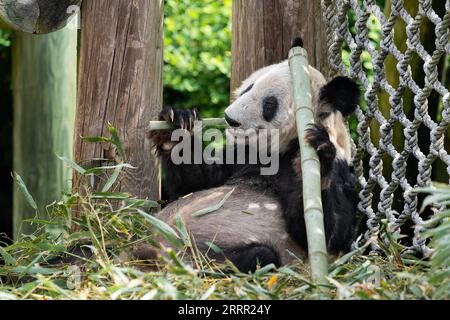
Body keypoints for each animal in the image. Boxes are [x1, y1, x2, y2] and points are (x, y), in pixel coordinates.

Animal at [145, 55, 362, 272]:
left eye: (269, 104)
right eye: (249, 87)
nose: (229, 119)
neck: (283, 148)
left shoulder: (341, 171)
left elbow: (329, 233)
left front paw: (320, 155)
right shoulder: (240, 155)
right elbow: (191, 186)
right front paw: (176, 125)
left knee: (259, 256)